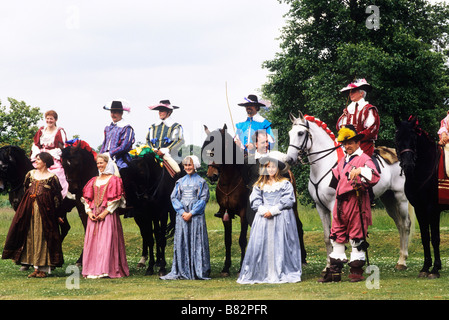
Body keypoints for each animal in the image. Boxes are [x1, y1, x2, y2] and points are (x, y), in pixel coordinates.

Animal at [286, 112, 412, 270]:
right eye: (290, 133)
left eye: (301, 133)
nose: (289, 159)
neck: (325, 166)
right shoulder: (321, 207)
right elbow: (327, 237)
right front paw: (328, 265)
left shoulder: (333, 205)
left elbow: (335, 235)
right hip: (388, 199)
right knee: (400, 225)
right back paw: (400, 259)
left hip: (400, 198)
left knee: (406, 224)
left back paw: (402, 261)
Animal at [394, 116, 446, 278]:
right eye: (397, 139)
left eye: (414, 139)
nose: (408, 165)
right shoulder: (420, 209)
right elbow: (425, 237)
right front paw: (425, 267)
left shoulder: (433, 209)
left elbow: (435, 238)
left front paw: (435, 269)